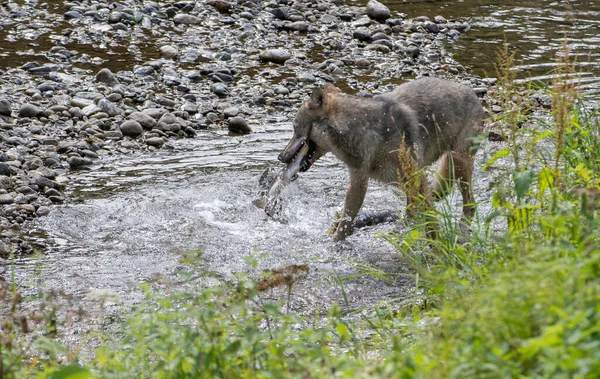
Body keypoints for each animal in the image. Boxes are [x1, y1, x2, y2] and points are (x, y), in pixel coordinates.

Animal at [276, 77, 488, 242]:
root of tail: (473, 93)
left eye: (295, 129)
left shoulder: (416, 179)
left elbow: (430, 222)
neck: (365, 132)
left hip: (458, 165)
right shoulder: (358, 182)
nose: (280, 157)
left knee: (470, 205)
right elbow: (345, 221)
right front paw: (333, 244)